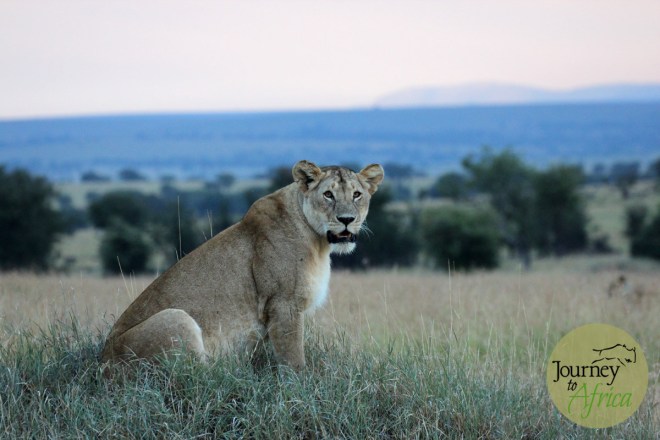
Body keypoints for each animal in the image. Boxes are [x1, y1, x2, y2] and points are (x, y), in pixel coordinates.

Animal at [100, 160, 384, 370]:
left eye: (357, 195)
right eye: (328, 195)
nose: (347, 220)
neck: (318, 242)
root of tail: (103, 365)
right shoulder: (284, 304)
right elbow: (294, 359)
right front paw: (301, 389)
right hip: (176, 319)